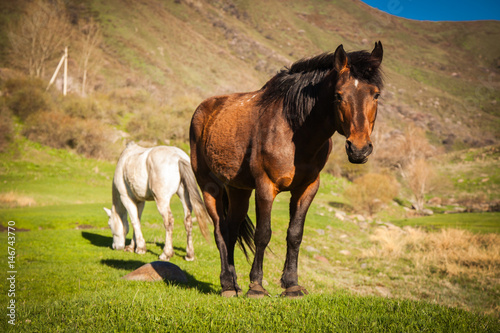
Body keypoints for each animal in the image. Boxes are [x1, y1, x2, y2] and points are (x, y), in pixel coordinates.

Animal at [189, 40, 384, 296]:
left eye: (376, 94)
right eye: (339, 95)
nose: (359, 149)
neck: (295, 132)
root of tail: (204, 109)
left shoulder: (307, 188)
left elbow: (295, 234)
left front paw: (292, 285)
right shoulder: (265, 186)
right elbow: (263, 234)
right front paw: (257, 287)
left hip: (238, 190)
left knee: (230, 231)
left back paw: (233, 283)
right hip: (209, 187)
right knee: (220, 232)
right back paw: (228, 286)